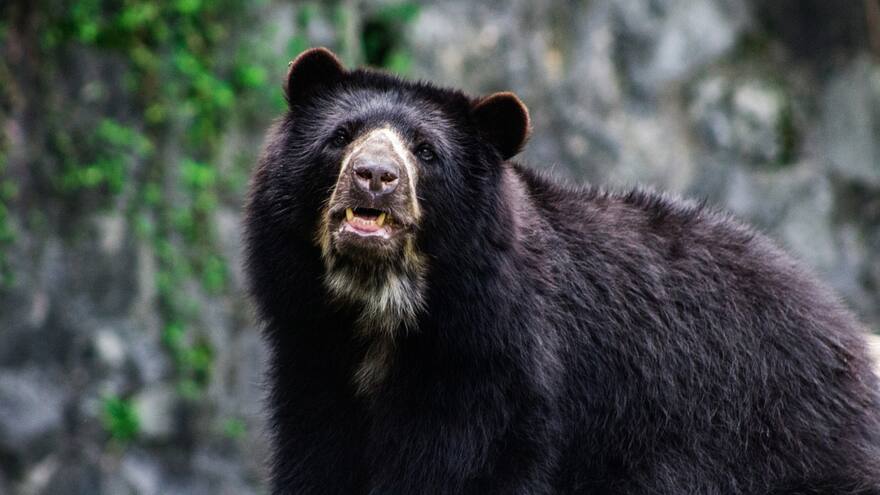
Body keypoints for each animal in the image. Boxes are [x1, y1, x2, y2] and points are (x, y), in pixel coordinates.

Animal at [243, 47, 880, 494]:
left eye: (425, 151)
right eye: (341, 136)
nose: (375, 176)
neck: (384, 315)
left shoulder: (496, 373)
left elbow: (464, 470)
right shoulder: (314, 357)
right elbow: (319, 456)